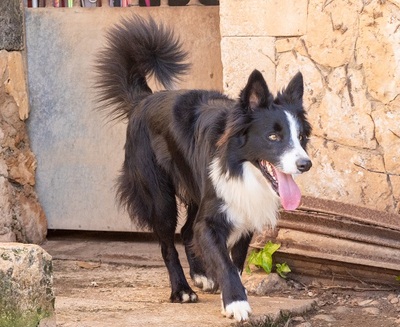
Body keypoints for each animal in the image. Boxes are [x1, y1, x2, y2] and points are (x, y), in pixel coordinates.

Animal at [96, 15, 312, 322]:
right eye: (273, 136)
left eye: (302, 137)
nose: (305, 164)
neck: (240, 166)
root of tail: (143, 100)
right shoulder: (212, 217)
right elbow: (223, 260)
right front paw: (236, 302)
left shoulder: (245, 211)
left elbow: (234, 260)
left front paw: (226, 292)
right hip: (158, 195)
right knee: (167, 243)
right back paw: (182, 290)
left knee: (188, 231)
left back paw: (200, 275)